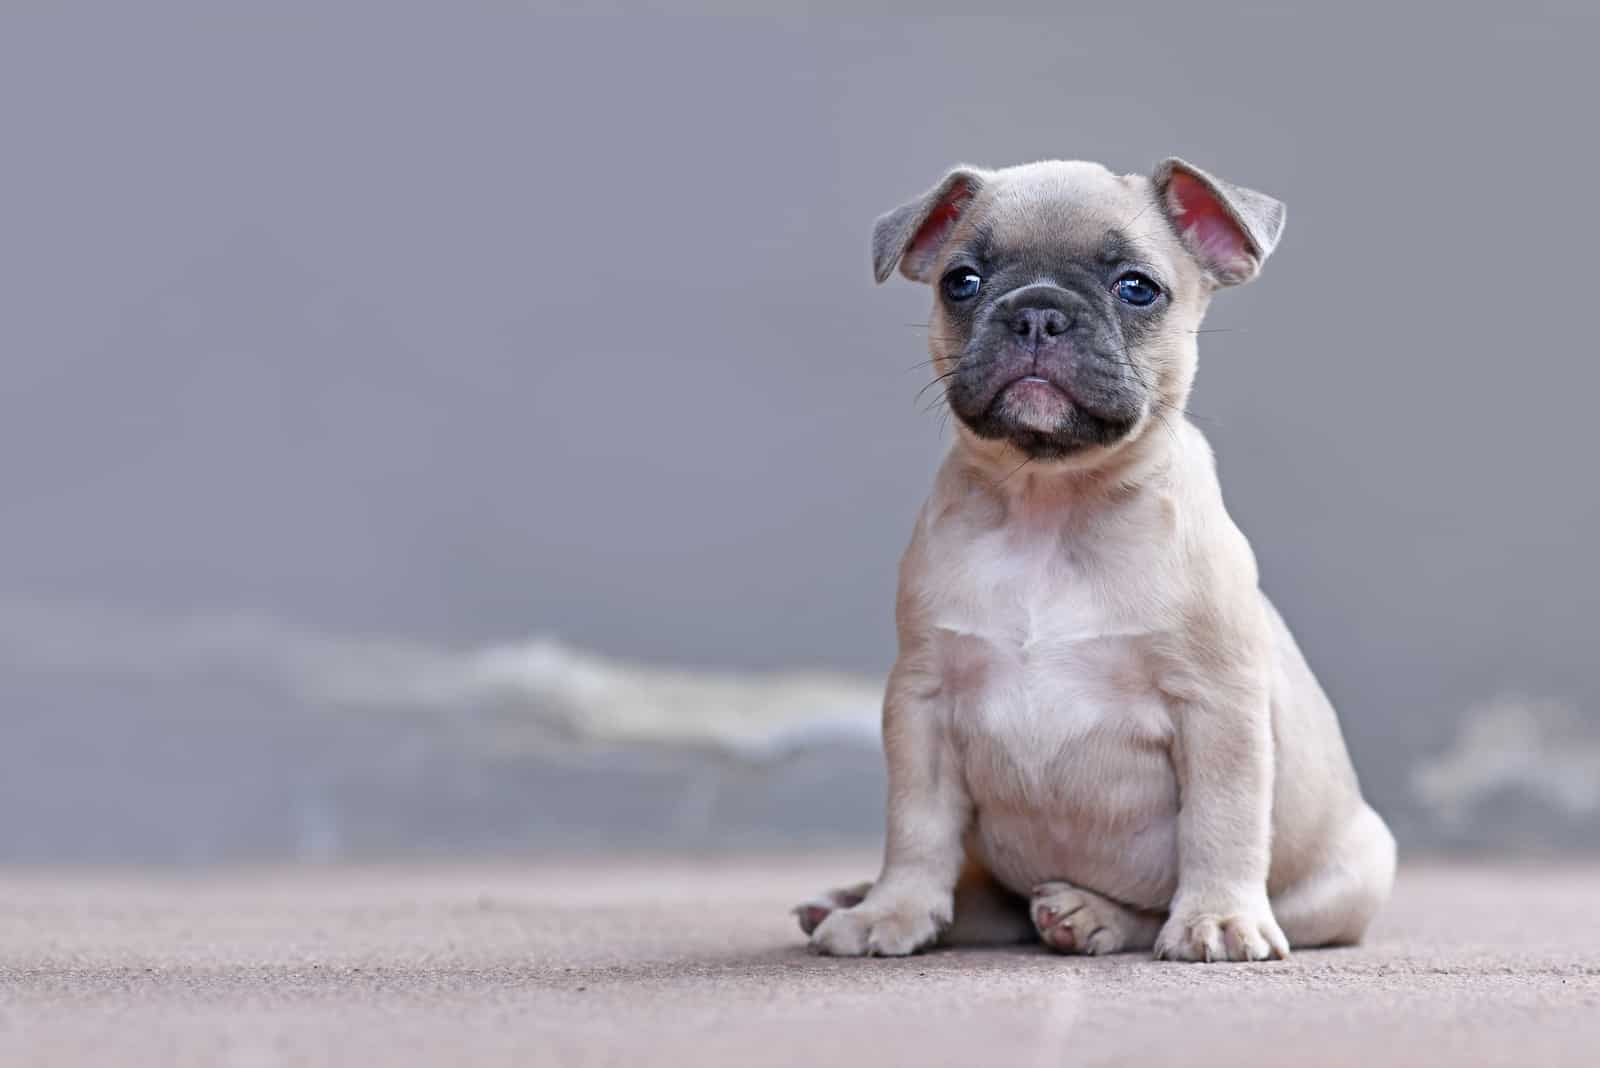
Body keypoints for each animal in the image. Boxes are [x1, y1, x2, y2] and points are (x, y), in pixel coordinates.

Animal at [793, 160, 1395, 965]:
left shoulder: (1219, 707)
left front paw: (1218, 918)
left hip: (1347, 879)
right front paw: (891, 910)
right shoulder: (922, 703)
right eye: (962, 281)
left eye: (1137, 287)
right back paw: (852, 899)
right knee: (981, 896)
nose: (1037, 313)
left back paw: (1092, 914)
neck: (1052, 504)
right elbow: (915, 826)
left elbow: (1221, 822)